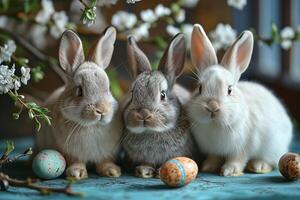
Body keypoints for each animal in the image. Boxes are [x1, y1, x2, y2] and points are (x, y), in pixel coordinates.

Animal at [36, 27, 122, 180]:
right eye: (80, 91)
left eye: (109, 89)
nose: (101, 110)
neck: (92, 126)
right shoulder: (70, 153)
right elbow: (76, 161)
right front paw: (76, 174)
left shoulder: (108, 152)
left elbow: (105, 161)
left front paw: (112, 171)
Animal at [120, 33, 193, 178]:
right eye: (132, 94)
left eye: (163, 95)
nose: (143, 114)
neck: (151, 131)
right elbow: (146, 163)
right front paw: (143, 171)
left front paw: (160, 172)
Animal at [188, 24, 292, 177]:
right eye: (200, 88)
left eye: (229, 90)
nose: (212, 107)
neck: (215, 125)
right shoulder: (214, 150)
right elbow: (214, 157)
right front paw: (208, 167)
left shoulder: (242, 148)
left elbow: (237, 159)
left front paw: (229, 170)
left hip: (273, 146)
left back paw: (259, 166)